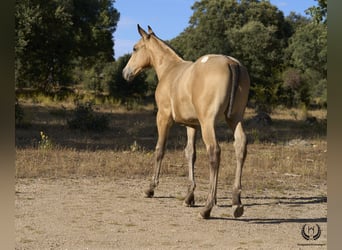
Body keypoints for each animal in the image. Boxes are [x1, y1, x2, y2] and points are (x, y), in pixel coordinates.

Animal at [121, 24, 250, 218]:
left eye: (135, 48)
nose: (125, 73)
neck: (169, 70)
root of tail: (231, 63)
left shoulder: (163, 117)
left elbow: (160, 150)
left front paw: (150, 188)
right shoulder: (192, 125)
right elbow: (190, 153)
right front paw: (189, 196)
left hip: (208, 123)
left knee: (214, 152)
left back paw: (208, 207)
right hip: (234, 119)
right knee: (240, 147)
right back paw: (237, 203)